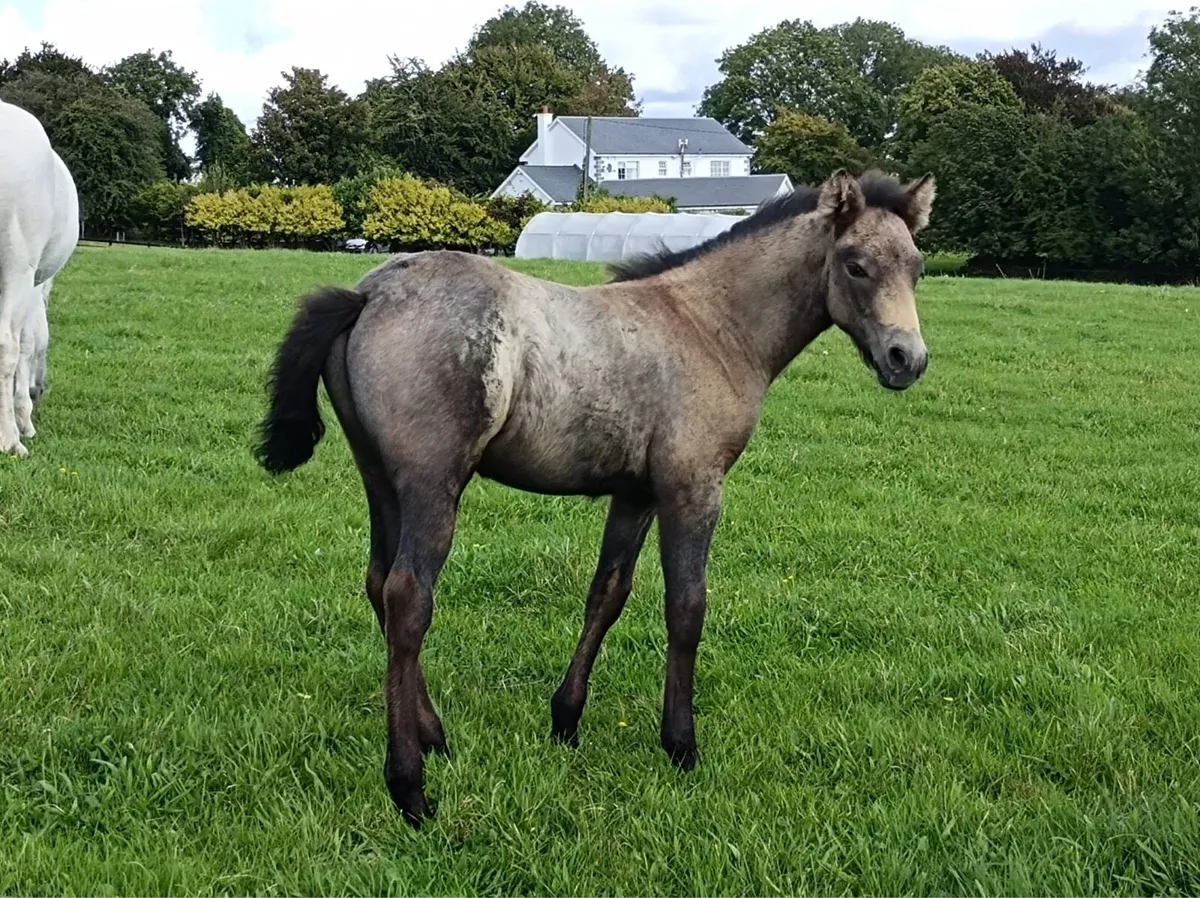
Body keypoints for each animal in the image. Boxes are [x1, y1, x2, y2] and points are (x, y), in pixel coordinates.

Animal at [256, 168, 936, 827]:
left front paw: (565, 720)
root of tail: (368, 293)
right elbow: (686, 608)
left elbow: (606, 595)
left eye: (917, 266)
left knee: (378, 582)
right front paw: (681, 746)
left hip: (380, 480)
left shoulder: (635, 494)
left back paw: (434, 737)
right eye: (855, 264)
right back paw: (409, 787)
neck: (710, 326)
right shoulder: (693, 486)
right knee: (407, 599)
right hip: (432, 485)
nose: (907, 358)